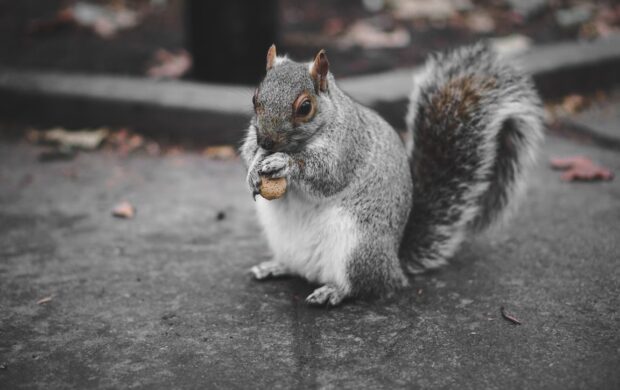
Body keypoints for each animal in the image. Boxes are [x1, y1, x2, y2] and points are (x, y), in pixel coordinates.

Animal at [240, 42, 540, 304]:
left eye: (305, 107)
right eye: (254, 98)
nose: (267, 141)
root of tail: (394, 263)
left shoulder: (349, 147)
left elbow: (328, 175)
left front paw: (284, 163)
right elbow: (247, 151)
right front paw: (254, 166)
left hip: (357, 247)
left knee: (367, 286)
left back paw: (334, 291)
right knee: (297, 267)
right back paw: (274, 267)